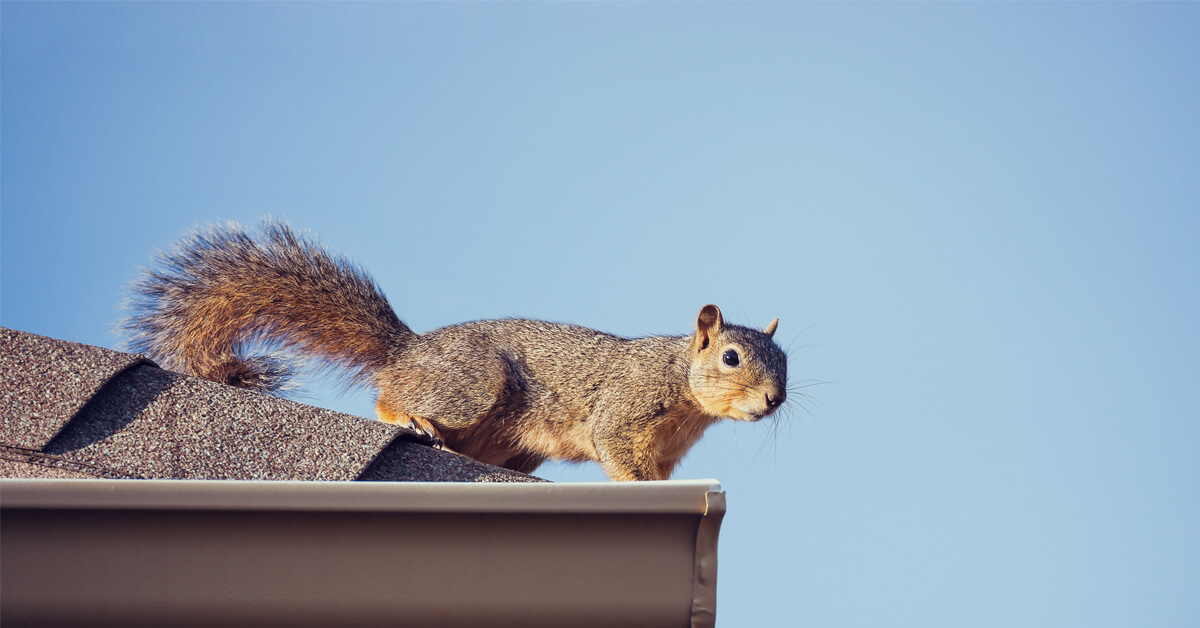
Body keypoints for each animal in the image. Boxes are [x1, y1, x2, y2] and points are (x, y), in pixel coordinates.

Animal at [124, 220, 787, 482]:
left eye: (786, 363)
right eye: (731, 357)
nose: (775, 400)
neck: (683, 387)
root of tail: (410, 350)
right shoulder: (624, 410)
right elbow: (617, 451)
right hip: (471, 386)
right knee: (389, 398)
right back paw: (411, 418)